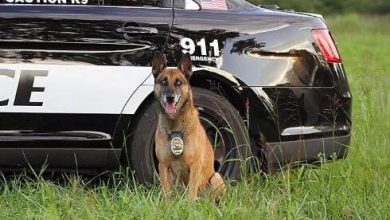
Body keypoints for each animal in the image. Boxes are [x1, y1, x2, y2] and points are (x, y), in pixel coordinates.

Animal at [152, 52, 225, 200]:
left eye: (178, 82)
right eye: (163, 82)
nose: (170, 97)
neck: (175, 126)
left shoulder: (195, 165)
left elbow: (191, 193)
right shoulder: (163, 166)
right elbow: (166, 193)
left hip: (216, 177)